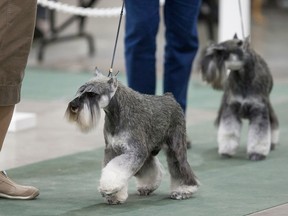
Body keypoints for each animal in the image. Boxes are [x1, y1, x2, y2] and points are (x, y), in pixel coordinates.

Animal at [65, 69, 198, 204]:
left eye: (92, 94)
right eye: (81, 90)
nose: (73, 105)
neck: (116, 114)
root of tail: (169, 96)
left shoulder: (135, 150)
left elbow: (115, 169)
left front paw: (108, 187)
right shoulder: (112, 150)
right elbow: (113, 168)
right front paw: (115, 196)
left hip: (175, 146)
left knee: (179, 165)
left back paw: (183, 190)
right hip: (148, 150)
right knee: (150, 167)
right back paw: (147, 186)